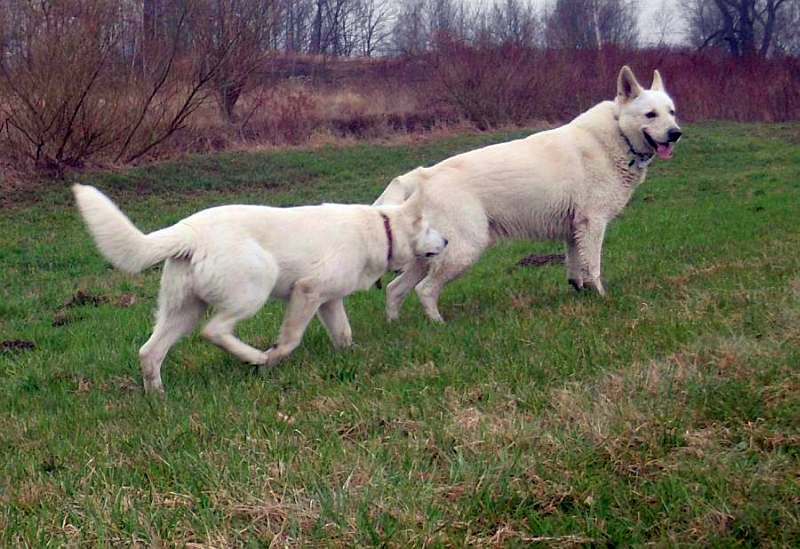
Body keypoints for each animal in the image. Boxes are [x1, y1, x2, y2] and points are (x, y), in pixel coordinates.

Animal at [72, 186, 446, 392]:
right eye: (430, 227)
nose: (445, 241)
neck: (382, 230)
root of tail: (189, 231)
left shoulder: (329, 302)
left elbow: (344, 334)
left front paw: (352, 358)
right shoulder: (307, 292)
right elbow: (290, 339)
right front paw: (273, 360)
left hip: (183, 313)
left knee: (149, 352)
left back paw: (158, 397)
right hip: (255, 287)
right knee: (214, 331)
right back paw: (253, 357)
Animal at [376, 65, 680, 322]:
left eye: (672, 112)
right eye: (650, 115)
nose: (676, 133)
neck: (619, 134)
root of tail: (423, 175)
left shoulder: (574, 230)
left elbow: (576, 270)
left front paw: (582, 294)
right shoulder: (593, 224)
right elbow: (593, 267)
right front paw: (603, 298)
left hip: (428, 256)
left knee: (394, 290)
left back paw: (396, 327)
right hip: (463, 251)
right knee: (425, 290)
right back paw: (438, 325)